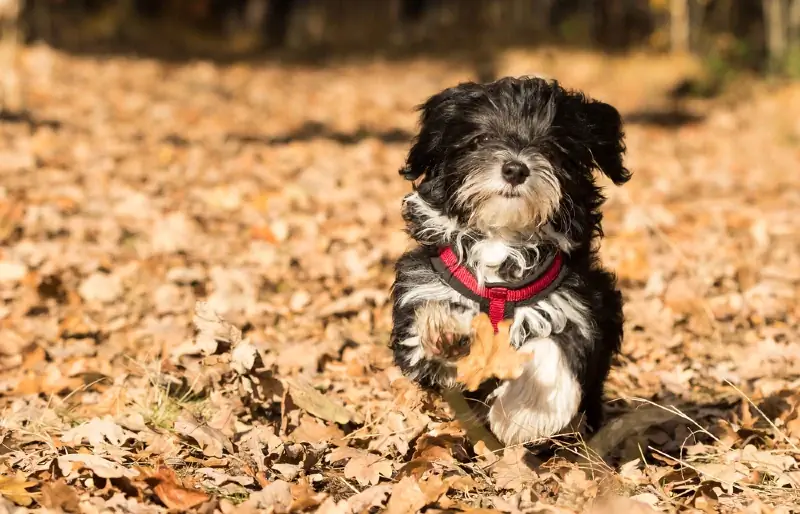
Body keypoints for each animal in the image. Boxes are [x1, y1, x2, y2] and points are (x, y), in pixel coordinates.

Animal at [390, 75, 632, 444]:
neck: (502, 239)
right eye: (482, 139)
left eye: (552, 148)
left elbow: (552, 347)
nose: (515, 168)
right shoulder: (421, 288)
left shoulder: (581, 305)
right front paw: (447, 331)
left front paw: (526, 414)